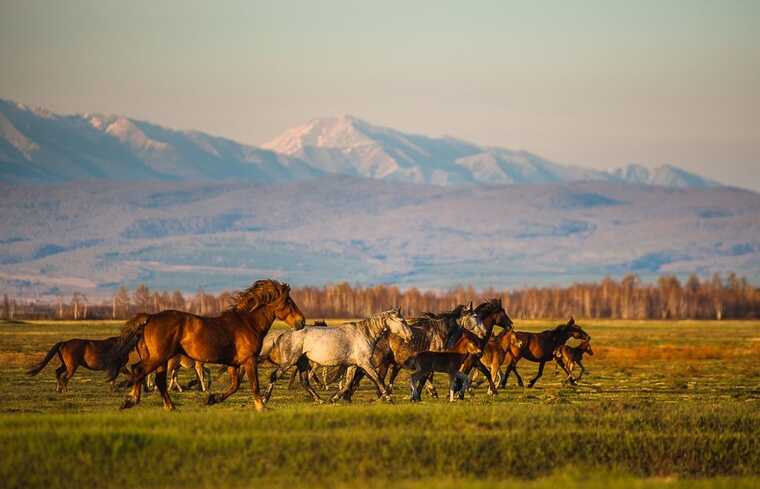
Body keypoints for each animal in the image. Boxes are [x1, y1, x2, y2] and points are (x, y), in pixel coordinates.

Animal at [106, 278, 306, 412]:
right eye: (289, 302)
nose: (301, 322)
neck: (247, 323)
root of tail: (150, 318)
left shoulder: (233, 364)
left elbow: (235, 386)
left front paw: (212, 398)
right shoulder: (249, 360)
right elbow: (253, 384)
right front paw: (261, 406)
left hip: (162, 359)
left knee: (157, 379)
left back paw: (169, 407)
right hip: (159, 357)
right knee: (140, 370)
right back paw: (131, 401)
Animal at [262, 306, 416, 402]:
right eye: (402, 321)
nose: (411, 337)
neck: (364, 334)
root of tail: (284, 333)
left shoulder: (353, 365)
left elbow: (347, 383)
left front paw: (334, 398)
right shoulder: (365, 363)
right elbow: (378, 379)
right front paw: (389, 398)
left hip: (302, 362)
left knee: (305, 382)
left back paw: (320, 400)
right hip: (289, 361)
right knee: (274, 376)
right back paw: (264, 399)